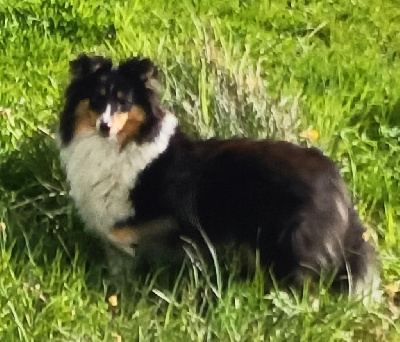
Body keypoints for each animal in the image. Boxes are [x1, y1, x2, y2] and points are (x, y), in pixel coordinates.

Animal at [59, 54, 382, 298]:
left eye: (124, 102)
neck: (121, 146)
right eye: (97, 99)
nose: (104, 127)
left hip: (290, 245)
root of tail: (337, 181)